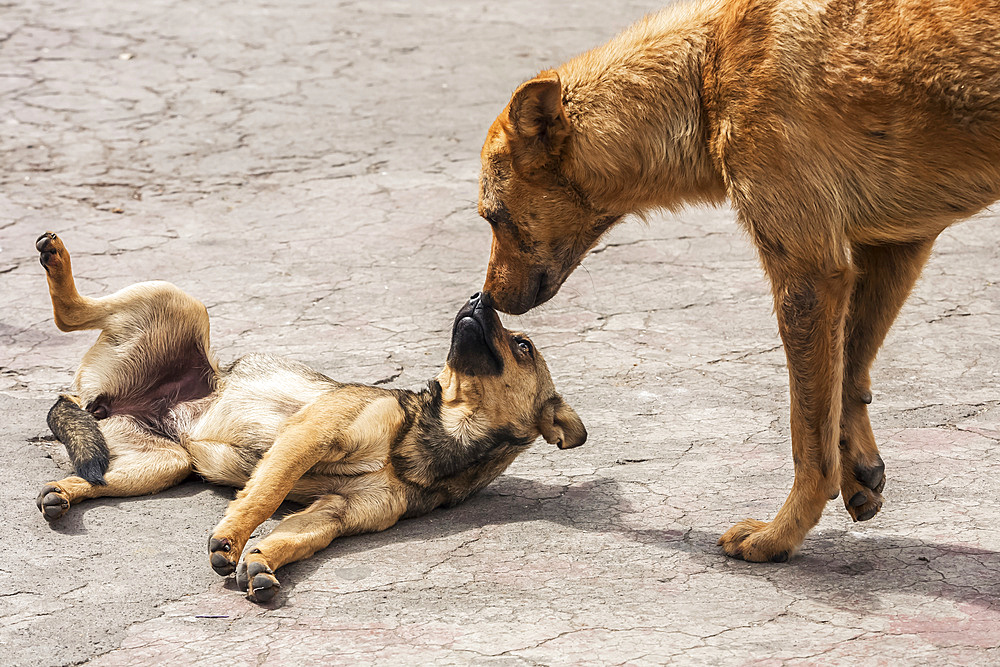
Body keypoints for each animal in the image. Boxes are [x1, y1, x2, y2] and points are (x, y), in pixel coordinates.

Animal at [35, 232, 584, 604]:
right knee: (70, 315)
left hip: (159, 464)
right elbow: (265, 496)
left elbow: (295, 535)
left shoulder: (338, 512)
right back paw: (56, 260)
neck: (438, 435)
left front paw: (262, 560)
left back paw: (64, 492)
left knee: (102, 472)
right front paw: (233, 538)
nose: (479, 296)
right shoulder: (308, 436)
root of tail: (95, 397)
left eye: (522, 345)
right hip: (177, 301)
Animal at [474, 0, 1000, 564]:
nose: (485, 300)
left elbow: (808, 441)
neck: (707, 74)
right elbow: (849, 380)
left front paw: (780, 536)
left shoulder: (808, 273)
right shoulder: (892, 245)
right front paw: (859, 471)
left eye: (493, 218)